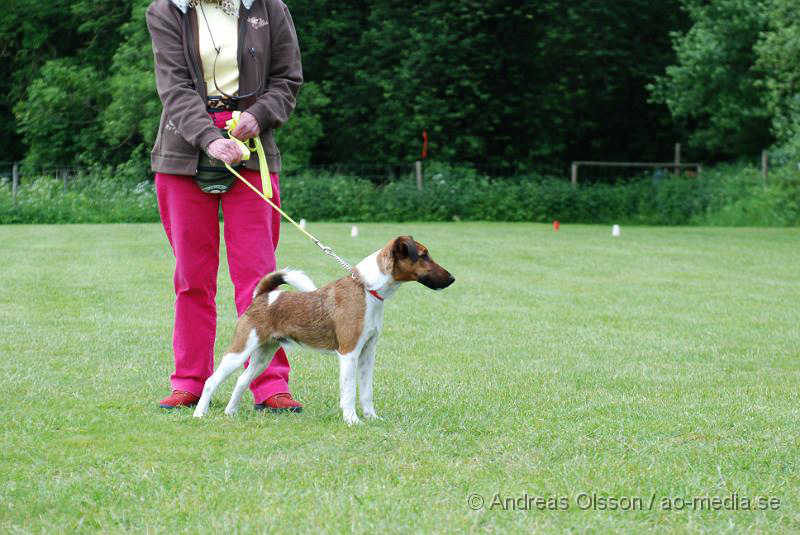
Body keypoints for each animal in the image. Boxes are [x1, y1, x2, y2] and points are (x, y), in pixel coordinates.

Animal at [191, 237, 454, 426]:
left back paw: (230, 412)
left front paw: (372, 418)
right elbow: (349, 392)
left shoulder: (367, 354)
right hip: (240, 351)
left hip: (263, 356)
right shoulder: (349, 353)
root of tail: (263, 297)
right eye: (423, 255)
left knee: (242, 380)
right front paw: (352, 420)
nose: (451, 278)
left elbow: (366, 391)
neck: (366, 290)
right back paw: (200, 414)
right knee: (212, 380)